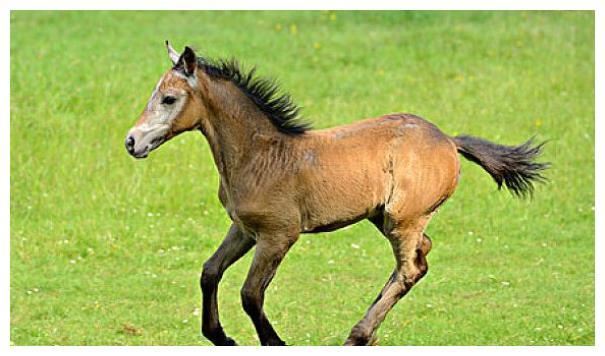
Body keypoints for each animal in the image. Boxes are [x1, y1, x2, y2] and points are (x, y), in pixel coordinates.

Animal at [124, 41, 548, 344]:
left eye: (169, 99)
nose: (132, 142)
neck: (260, 156)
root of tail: (448, 140)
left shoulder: (279, 235)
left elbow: (250, 294)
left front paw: (273, 342)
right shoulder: (244, 229)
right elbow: (210, 271)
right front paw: (221, 337)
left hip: (402, 219)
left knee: (409, 268)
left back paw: (357, 335)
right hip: (385, 218)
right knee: (421, 257)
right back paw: (367, 333)